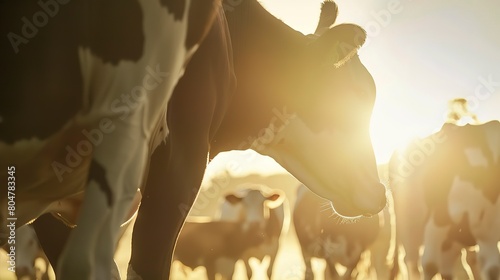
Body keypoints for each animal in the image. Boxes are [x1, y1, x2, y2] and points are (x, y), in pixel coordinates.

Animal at [390, 121, 500, 280]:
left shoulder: (488, 232)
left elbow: (492, 269)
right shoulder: (436, 220)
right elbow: (430, 265)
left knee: (449, 265)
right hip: (408, 225)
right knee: (412, 261)